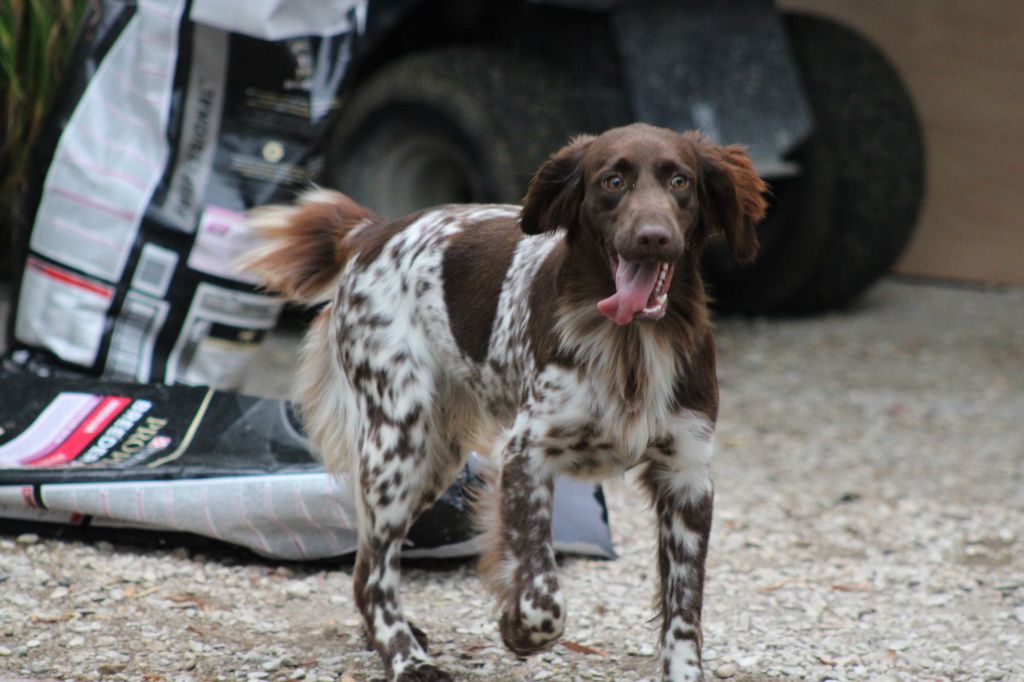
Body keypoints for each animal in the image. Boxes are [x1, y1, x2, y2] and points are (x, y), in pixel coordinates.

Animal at [241, 123, 770, 679]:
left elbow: (684, 607)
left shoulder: (686, 475)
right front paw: (517, 628)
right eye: (614, 181)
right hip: (398, 443)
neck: (629, 346)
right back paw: (406, 657)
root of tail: (372, 232)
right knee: (372, 572)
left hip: (436, 459)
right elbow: (542, 594)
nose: (653, 237)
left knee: (367, 563)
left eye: (679, 180)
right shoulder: (526, 454)